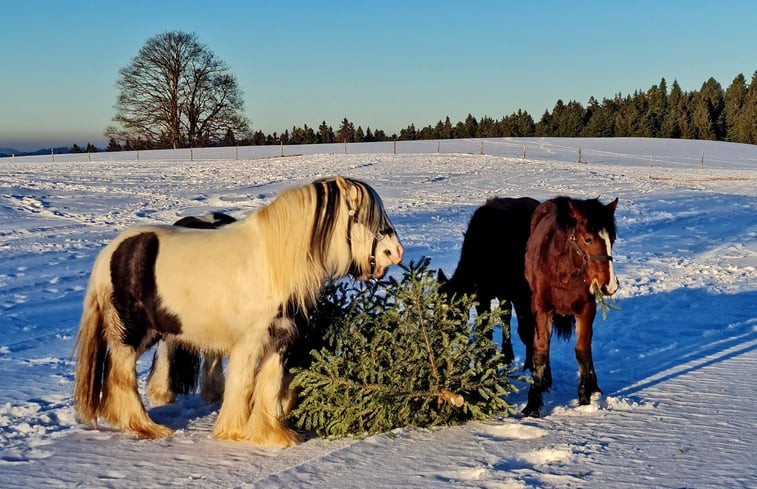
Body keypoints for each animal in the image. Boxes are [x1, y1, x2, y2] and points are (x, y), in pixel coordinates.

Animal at [72, 176, 402, 446]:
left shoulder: (279, 339)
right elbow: (242, 384)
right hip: (133, 334)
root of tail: (111, 252)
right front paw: (233, 432)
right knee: (121, 374)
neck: (272, 262)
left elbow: (269, 385)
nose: (395, 253)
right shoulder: (250, 341)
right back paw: (145, 427)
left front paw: (271, 435)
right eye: (362, 217)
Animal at [524, 194, 616, 416]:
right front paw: (532, 404)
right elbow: (540, 351)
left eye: (613, 239)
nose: (609, 285)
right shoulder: (541, 308)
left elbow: (583, 351)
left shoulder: (587, 309)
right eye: (588, 239)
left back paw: (594, 386)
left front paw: (584, 399)